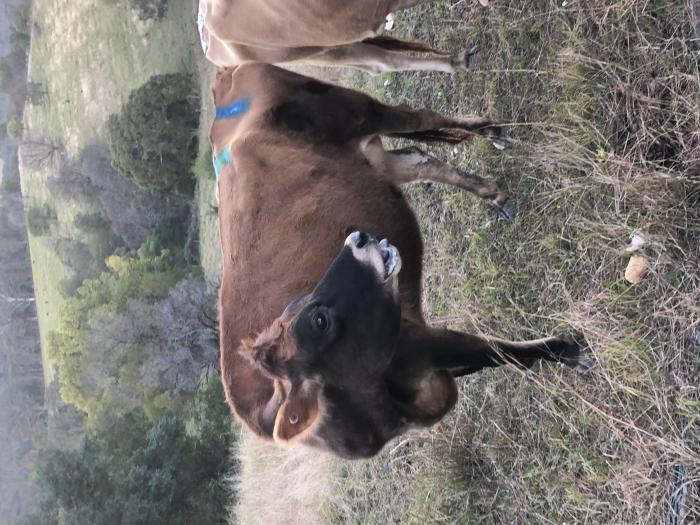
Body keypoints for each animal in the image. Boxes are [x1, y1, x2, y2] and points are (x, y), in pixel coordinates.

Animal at [211, 62, 588, 459]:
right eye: (318, 319)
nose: (357, 239)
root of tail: (228, 76)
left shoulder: (419, 339)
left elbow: (497, 351)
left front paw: (570, 350)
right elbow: (499, 357)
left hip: (359, 109)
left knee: (419, 117)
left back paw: (492, 132)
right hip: (369, 157)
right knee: (416, 157)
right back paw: (494, 193)